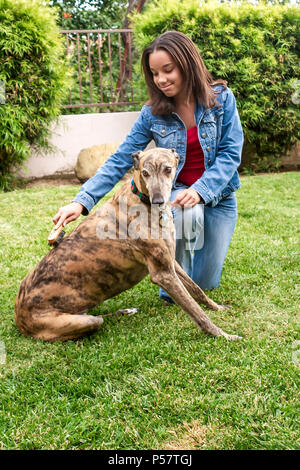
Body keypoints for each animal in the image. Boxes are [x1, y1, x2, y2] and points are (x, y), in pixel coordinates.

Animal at [14, 149, 241, 344]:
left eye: (168, 169)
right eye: (145, 173)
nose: (158, 200)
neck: (141, 200)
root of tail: (18, 317)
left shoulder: (170, 262)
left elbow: (197, 290)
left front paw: (217, 307)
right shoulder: (163, 273)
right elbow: (197, 313)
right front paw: (223, 335)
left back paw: (127, 311)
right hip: (80, 321)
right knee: (95, 321)